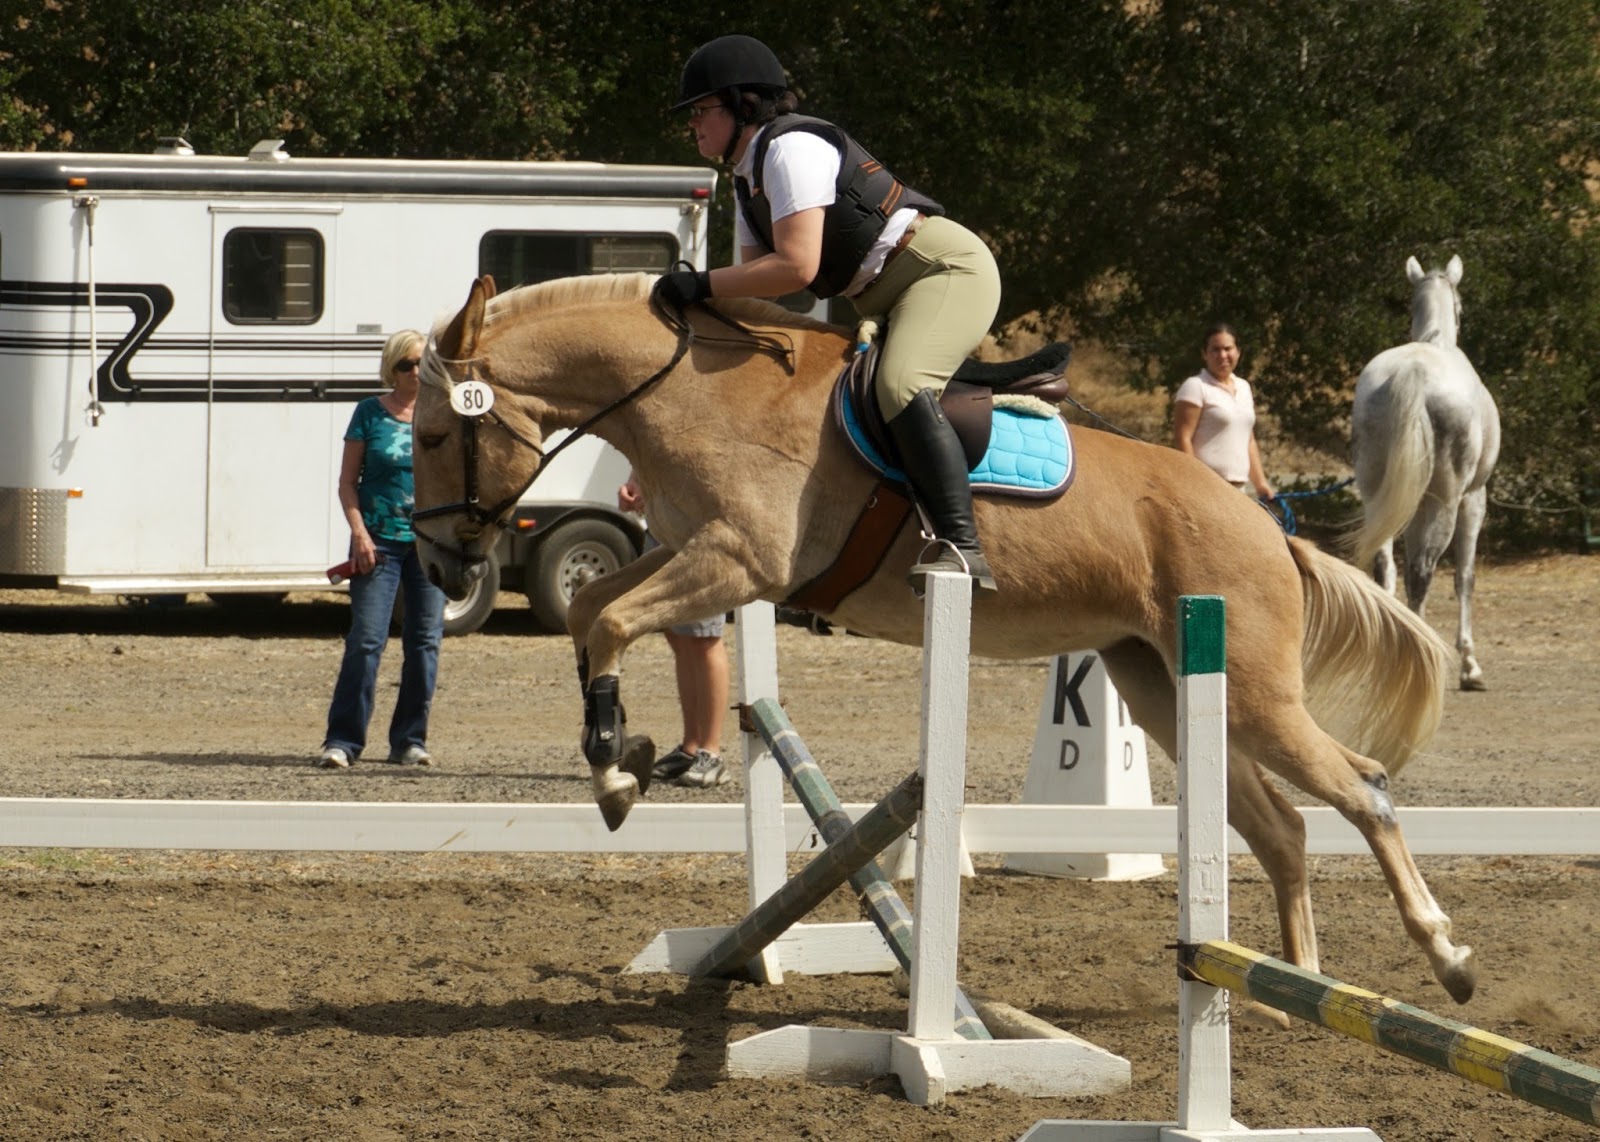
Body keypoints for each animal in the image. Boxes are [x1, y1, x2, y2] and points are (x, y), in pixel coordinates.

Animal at [409, 272, 1476, 1006]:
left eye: (427, 437)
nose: (438, 569)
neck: (694, 391)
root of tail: (1267, 527)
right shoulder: (693, 552)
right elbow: (597, 610)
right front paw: (621, 757)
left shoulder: (739, 562)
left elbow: (611, 617)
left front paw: (615, 773)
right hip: (1163, 685)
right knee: (1283, 826)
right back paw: (1294, 992)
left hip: (1250, 692)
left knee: (1363, 787)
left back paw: (1444, 956)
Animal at [1351, 255, 1502, 690]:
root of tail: (1415, 370)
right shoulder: (1474, 498)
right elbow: (1465, 576)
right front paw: (1470, 666)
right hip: (1445, 501)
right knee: (1421, 573)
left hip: (1376, 496)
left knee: (1383, 566)